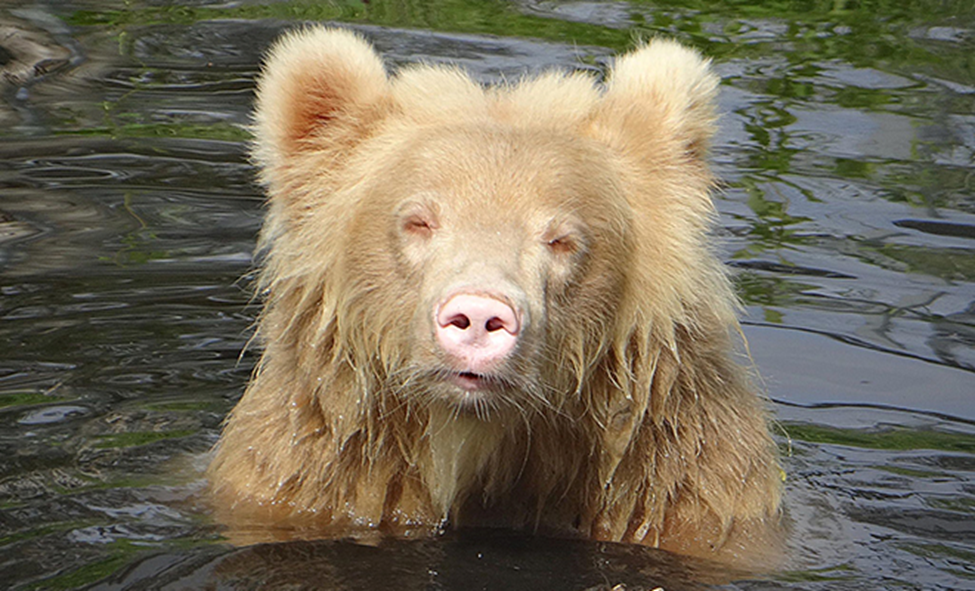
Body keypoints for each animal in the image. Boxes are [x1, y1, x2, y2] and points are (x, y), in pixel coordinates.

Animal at [208, 25, 784, 568]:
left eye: (561, 238)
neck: (471, 447)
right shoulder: (308, 474)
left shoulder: (680, 487)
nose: (479, 315)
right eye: (418, 220)